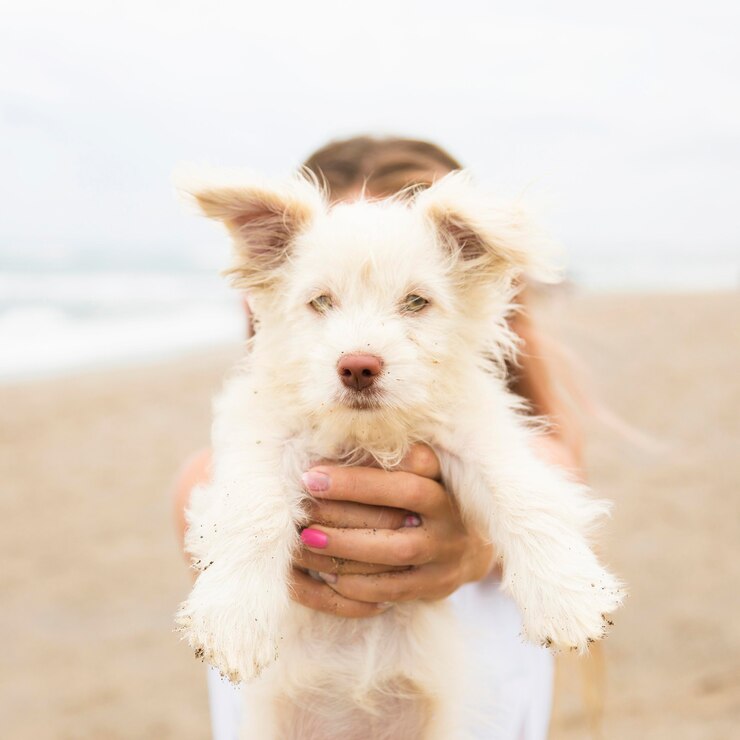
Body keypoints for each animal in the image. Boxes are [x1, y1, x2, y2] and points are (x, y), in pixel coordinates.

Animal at [175, 171, 624, 736]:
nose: (358, 367)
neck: (368, 436)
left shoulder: (475, 433)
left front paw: (567, 596)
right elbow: (251, 508)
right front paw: (235, 619)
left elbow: (522, 493)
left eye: (415, 302)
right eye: (320, 302)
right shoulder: (263, 435)